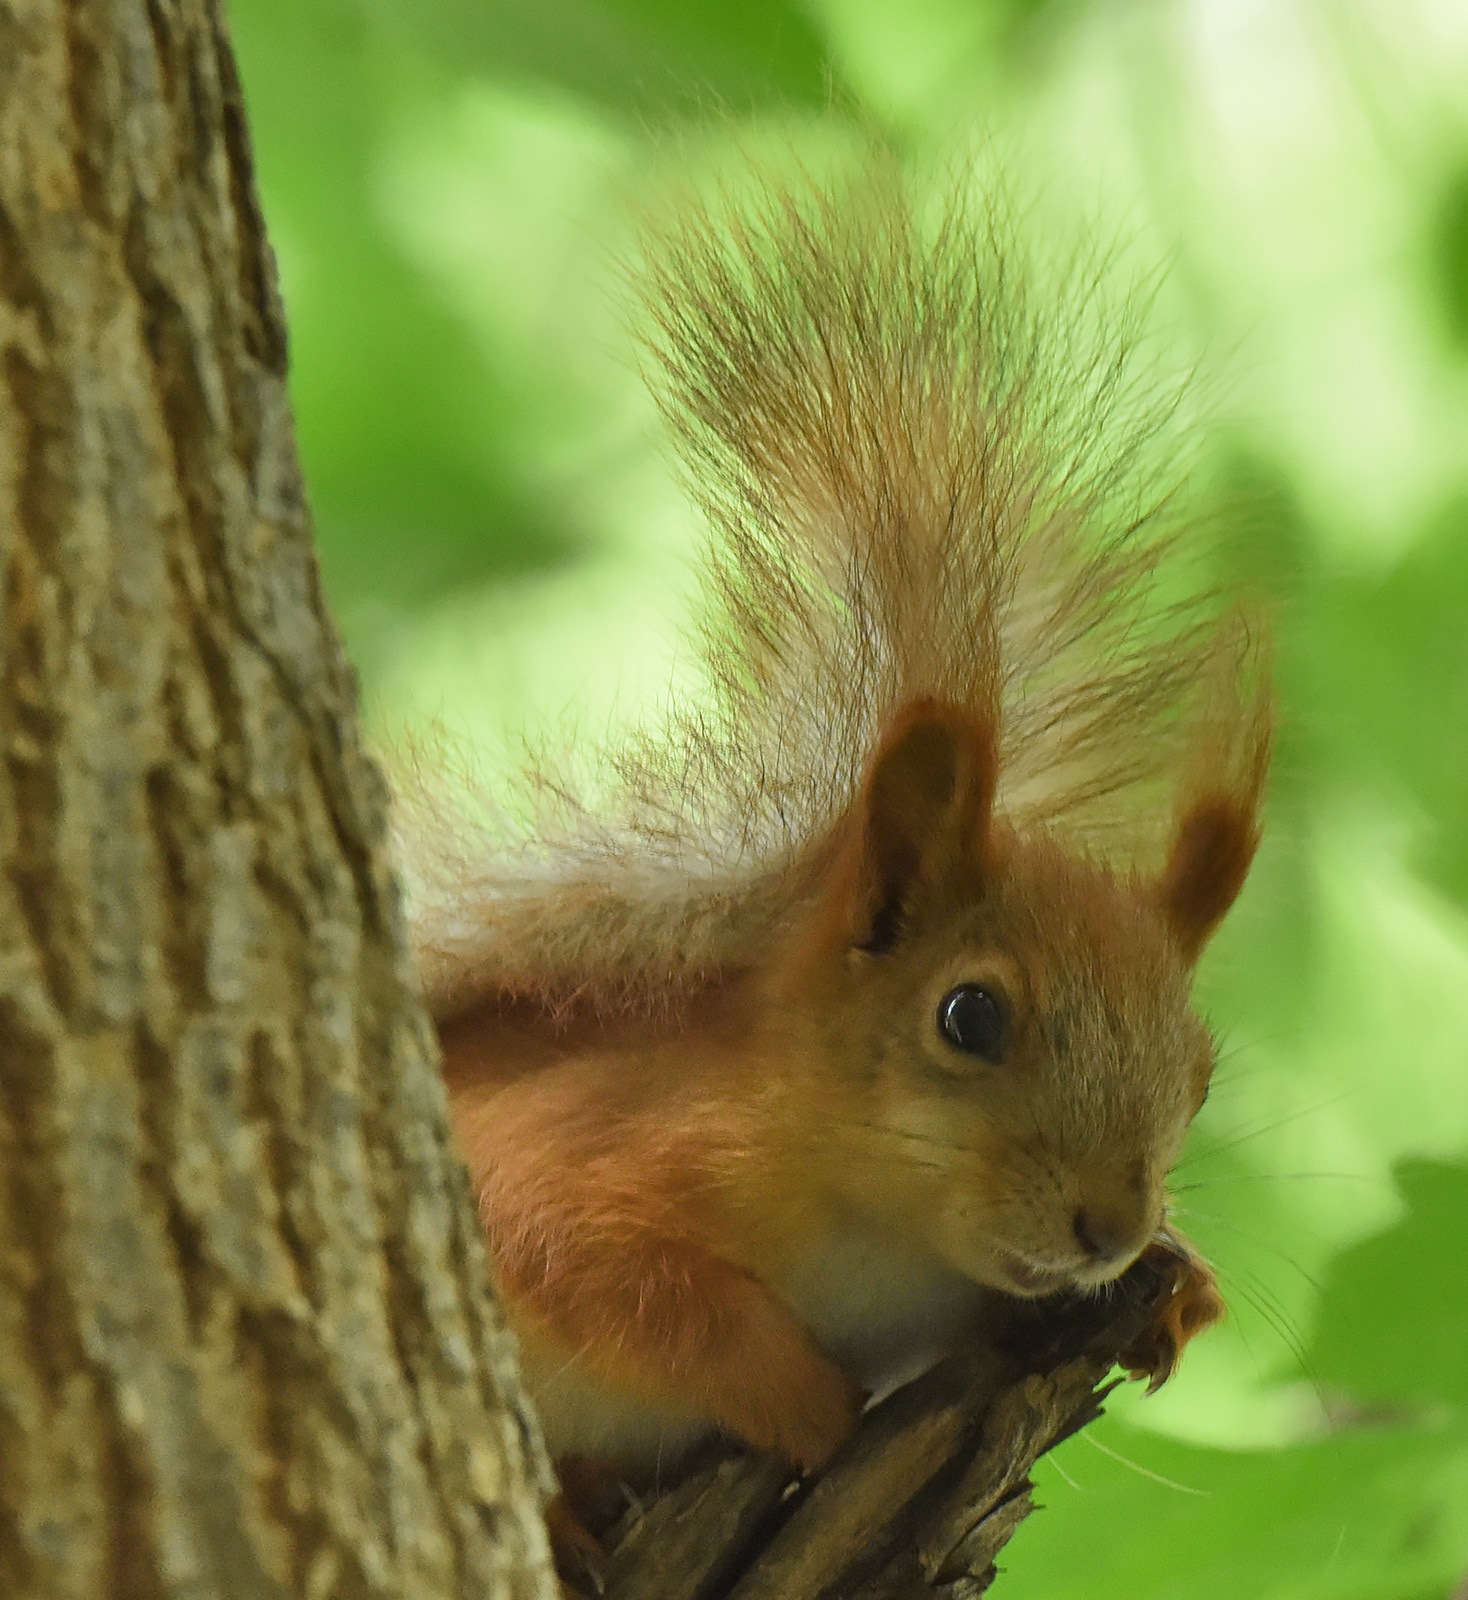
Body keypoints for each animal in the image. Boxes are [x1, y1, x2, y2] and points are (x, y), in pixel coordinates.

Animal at [398, 158, 1270, 1488]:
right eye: (968, 1017)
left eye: (1202, 1072)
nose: (1112, 1226)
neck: (882, 1227)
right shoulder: (571, 1156)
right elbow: (609, 1272)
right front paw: (805, 1398)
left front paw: (1179, 1284)